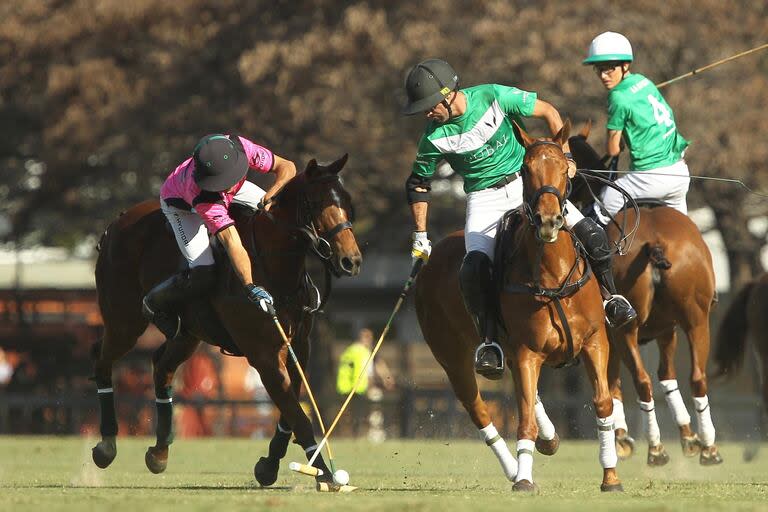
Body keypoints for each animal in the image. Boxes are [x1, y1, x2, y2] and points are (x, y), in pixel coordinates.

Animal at [91, 156, 362, 488]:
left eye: (346, 202)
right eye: (315, 203)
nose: (351, 261)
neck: (274, 268)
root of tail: (115, 223)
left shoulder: (300, 347)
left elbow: (290, 410)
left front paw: (270, 464)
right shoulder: (264, 355)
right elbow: (298, 414)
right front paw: (324, 471)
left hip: (187, 335)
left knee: (162, 367)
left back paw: (159, 452)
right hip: (124, 321)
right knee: (102, 359)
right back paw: (106, 445)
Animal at [414, 120, 624, 492]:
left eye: (563, 168)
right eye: (526, 170)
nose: (549, 220)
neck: (554, 275)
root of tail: (430, 260)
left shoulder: (595, 342)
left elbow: (602, 404)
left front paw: (611, 476)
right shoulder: (528, 351)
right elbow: (523, 419)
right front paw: (525, 479)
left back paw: (549, 438)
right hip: (452, 358)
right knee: (480, 410)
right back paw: (514, 468)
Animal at [568, 122, 724, 466]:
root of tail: (655, 244)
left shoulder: (609, 335)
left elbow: (612, 382)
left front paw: (622, 438)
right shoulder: (667, 330)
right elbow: (667, 375)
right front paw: (688, 436)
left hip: (626, 327)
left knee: (641, 381)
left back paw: (656, 448)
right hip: (696, 319)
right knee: (697, 377)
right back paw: (708, 447)